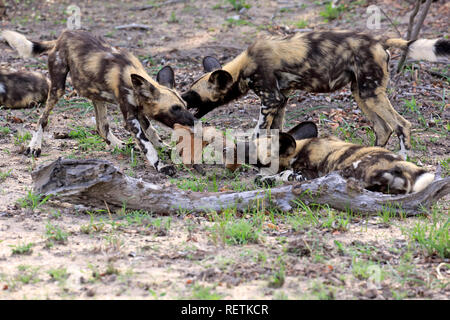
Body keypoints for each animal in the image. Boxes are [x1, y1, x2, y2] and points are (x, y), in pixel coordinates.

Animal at [1, 29, 195, 175]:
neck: (129, 76)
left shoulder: (139, 112)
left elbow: (152, 133)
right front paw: (161, 165)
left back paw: (118, 145)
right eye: (175, 108)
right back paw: (34, 145)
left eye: (185, 106)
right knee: (42, 119)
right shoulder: (131, 118)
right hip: (57, 89)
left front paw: (166, 148)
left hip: (96, 95)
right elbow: (147, 144)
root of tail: (63, 35)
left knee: (102, 126)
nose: (193, 121)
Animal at [182, 30, 450, 158]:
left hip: (370, 93)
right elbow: (275, 132)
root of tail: (378, 40)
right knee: (383, 129)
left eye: (193, 94)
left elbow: (259, 132)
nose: (182, 99)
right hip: (361, 93)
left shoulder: (270, 100)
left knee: (402, 125)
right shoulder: (281, 100)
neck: (242, 68)